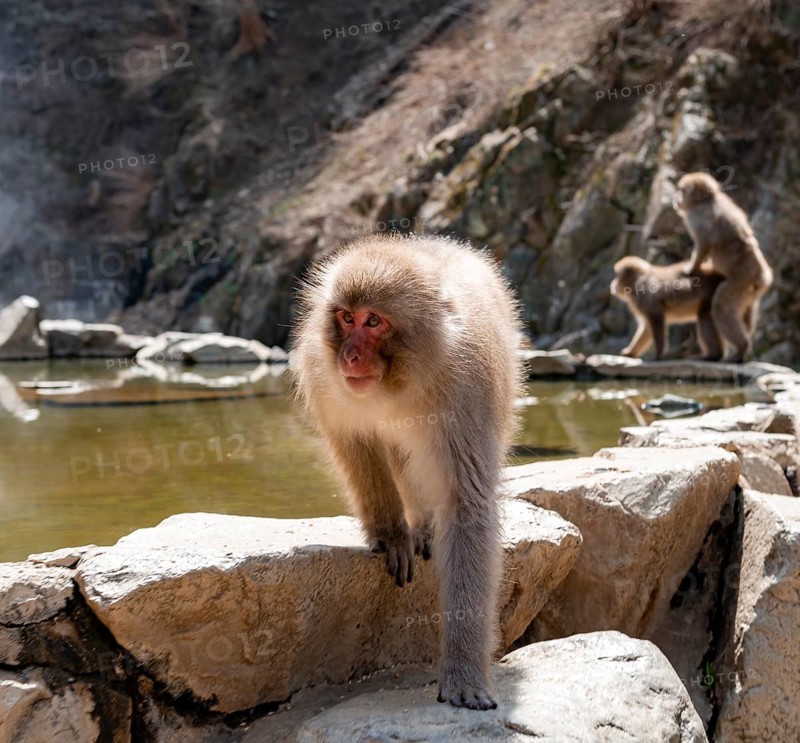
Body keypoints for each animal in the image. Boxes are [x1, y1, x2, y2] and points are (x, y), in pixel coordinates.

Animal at [291, 234, 523, 710]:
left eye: (374, 321)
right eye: (346, 317)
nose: (350, 355)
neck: (397, 386)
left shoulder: (466, 391)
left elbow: (466, 501)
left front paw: (463, 672)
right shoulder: (325, 376)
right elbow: (355, 443)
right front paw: (393, 535)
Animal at [673, 172, 773, 363]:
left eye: (682, 190)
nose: (676, 199)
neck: (706, 200)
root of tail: (761, 274)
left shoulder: (697, 218)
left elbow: (703, 244)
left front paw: (691, 268)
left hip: (740, 282)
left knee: (721, 307)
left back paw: (741, 348)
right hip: (752, 291)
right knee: (746, 313)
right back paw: (745, 348)